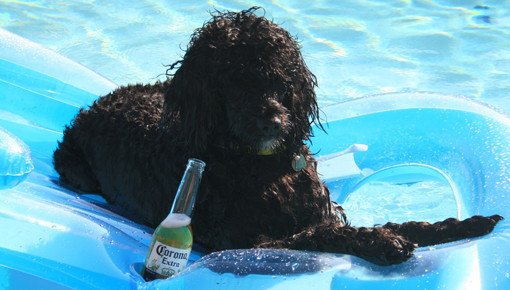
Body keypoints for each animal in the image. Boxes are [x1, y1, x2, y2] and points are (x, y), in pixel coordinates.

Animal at [52, 7, 502, 266]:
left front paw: (464, 224)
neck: (263, 167)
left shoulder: (317, 210)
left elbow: (409, 222)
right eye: (231, 80)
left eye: (280, 77)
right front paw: (381, 240)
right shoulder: (246, 241)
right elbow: (323, 235)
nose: (272, 120)